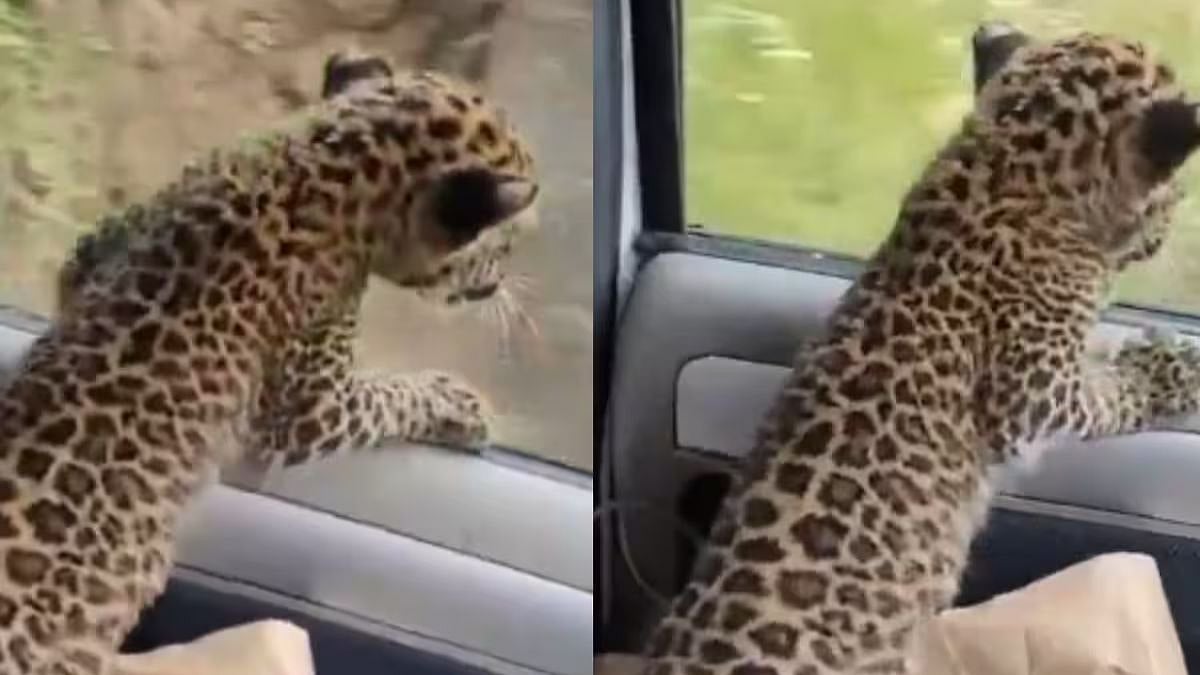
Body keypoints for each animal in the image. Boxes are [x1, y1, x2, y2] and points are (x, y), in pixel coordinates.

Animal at [0, 47, 538, 674]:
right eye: (503, 244)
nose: (502, 283)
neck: (328, 163)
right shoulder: (311, 410)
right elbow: (392, 397)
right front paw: (462, 402)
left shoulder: (92, 248)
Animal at [641, 22, 1200, 675]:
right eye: (1177, 188)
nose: (1170, 221)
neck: (1008, 164)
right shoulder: (1032, 391)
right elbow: (1117, 394)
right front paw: (1176, 364)